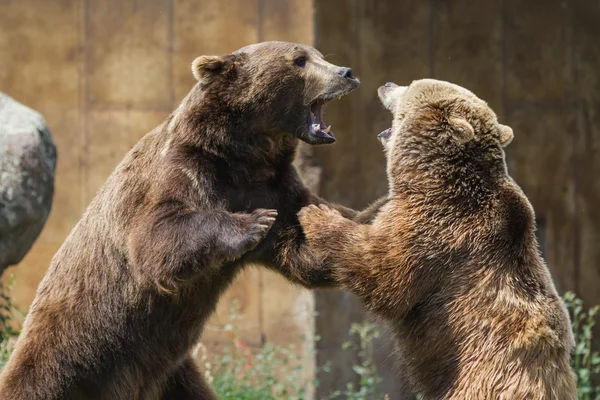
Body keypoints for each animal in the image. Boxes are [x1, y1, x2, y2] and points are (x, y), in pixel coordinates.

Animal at [0, 41, 356, 400]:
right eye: (299, 60)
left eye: (319, 55)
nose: (346, 72)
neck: (245, 156)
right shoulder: (181, 172)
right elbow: (156, 237)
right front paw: (252, 222)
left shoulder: (273, 187)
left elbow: (304, 247)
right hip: (71, 350)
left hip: (168, 374)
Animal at [298, 79, 576, 400]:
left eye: (410, 85)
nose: (387, 83)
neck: (429, 179)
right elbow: (368, 218)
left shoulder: (439, 229)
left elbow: (383, 274)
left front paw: (314, 215)